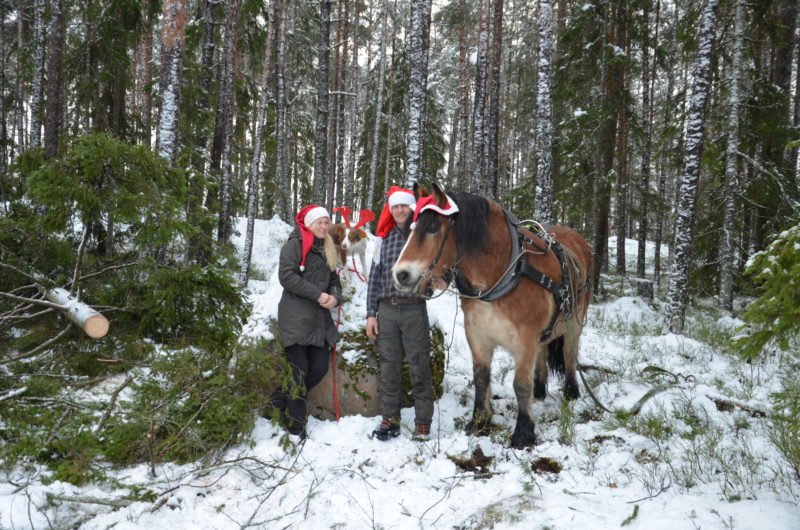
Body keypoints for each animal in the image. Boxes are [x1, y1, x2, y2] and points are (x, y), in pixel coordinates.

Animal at [390, 182, 592, 446]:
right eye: (409, 229)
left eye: (433, 227)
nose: (400, 275)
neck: (503, 273)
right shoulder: (477, 335)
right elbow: (481, 377)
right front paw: (479, 421)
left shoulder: (525, 340)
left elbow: (520, 384)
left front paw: (523, 432)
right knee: (543, 351)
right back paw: (539, 391)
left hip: (573, 323)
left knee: (569, 353)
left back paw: (571, 393)